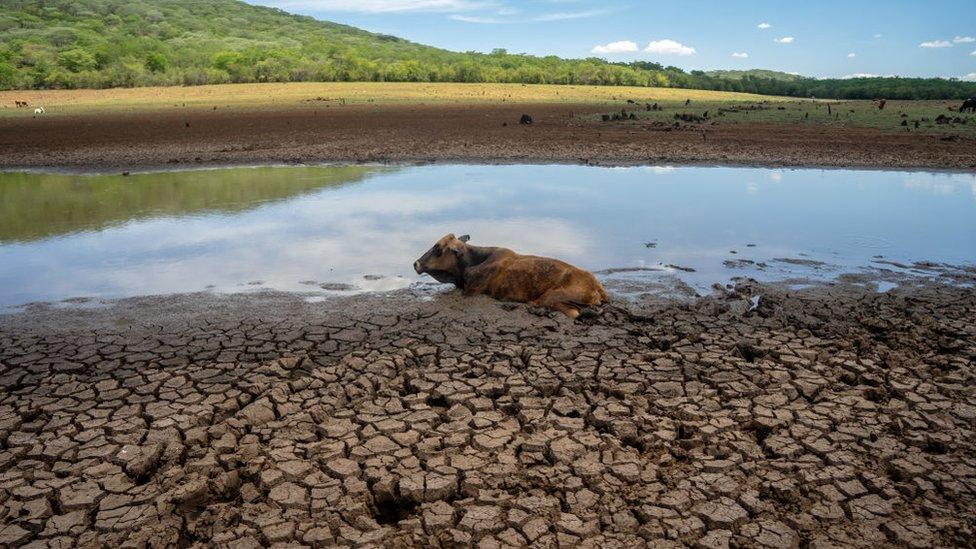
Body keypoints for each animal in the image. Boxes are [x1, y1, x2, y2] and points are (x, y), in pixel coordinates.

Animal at [410, 233, 604, 318]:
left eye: (437, 248)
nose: (416, 263)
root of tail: (597, 286)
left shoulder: (471, 291)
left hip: (549, 297)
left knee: (573, 312)